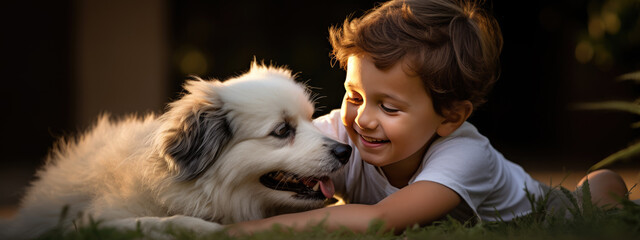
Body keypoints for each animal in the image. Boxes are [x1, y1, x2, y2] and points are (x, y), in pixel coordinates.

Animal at [1, 62, 350, 239]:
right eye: (282, 131)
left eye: (310, 119)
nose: (345, 151)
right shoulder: (92, 222)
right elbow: (155, 222)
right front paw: (200, 228)